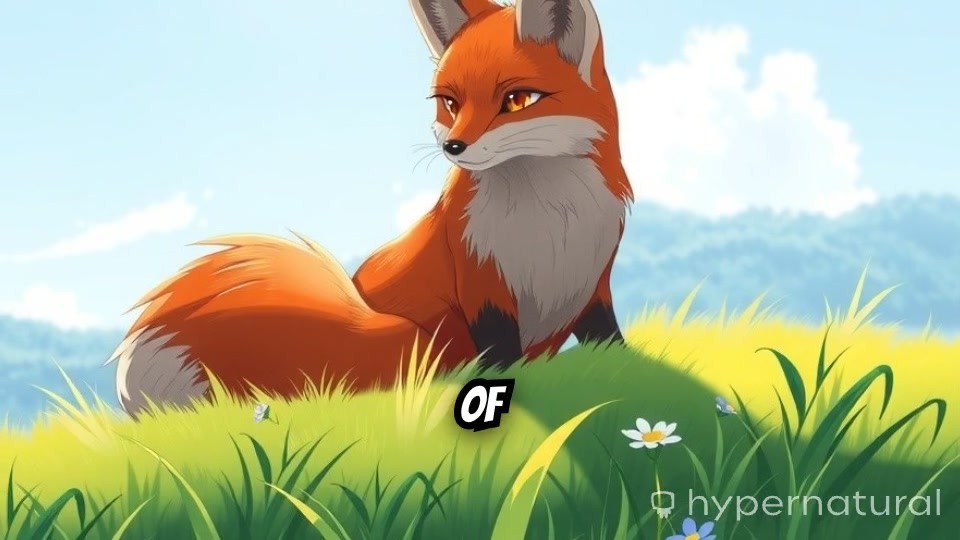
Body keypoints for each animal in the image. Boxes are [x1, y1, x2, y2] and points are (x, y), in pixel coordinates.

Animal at [109, 0, 634, 417]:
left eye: (518, 100)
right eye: (450, 103)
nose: (455, 147)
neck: (550, 221)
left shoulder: (593, 280)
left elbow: (609, 342)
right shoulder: (482, 285)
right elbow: (503, 356)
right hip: (419, 341)